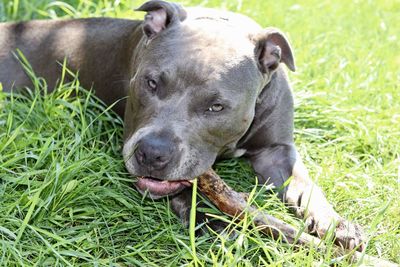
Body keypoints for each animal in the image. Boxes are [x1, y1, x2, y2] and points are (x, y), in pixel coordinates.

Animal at [0, 0, 362, 251]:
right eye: (151, 83)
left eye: (216, 106)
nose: (151, 154)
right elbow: (191, 195)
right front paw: (219, 225)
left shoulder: (276, 151)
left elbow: (305, 185)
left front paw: (334, 223)